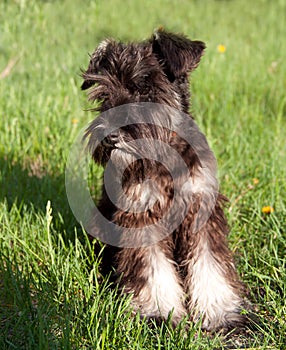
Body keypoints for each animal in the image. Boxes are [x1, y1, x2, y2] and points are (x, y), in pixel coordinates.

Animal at [81, 28, 250, 330]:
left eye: (146, 88)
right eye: (104, 94)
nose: (111, 135)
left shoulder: (201, 211)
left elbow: (210, 264)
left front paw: (219, 312)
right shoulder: (141, 216)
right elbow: (152, 268)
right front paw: (160, 312)